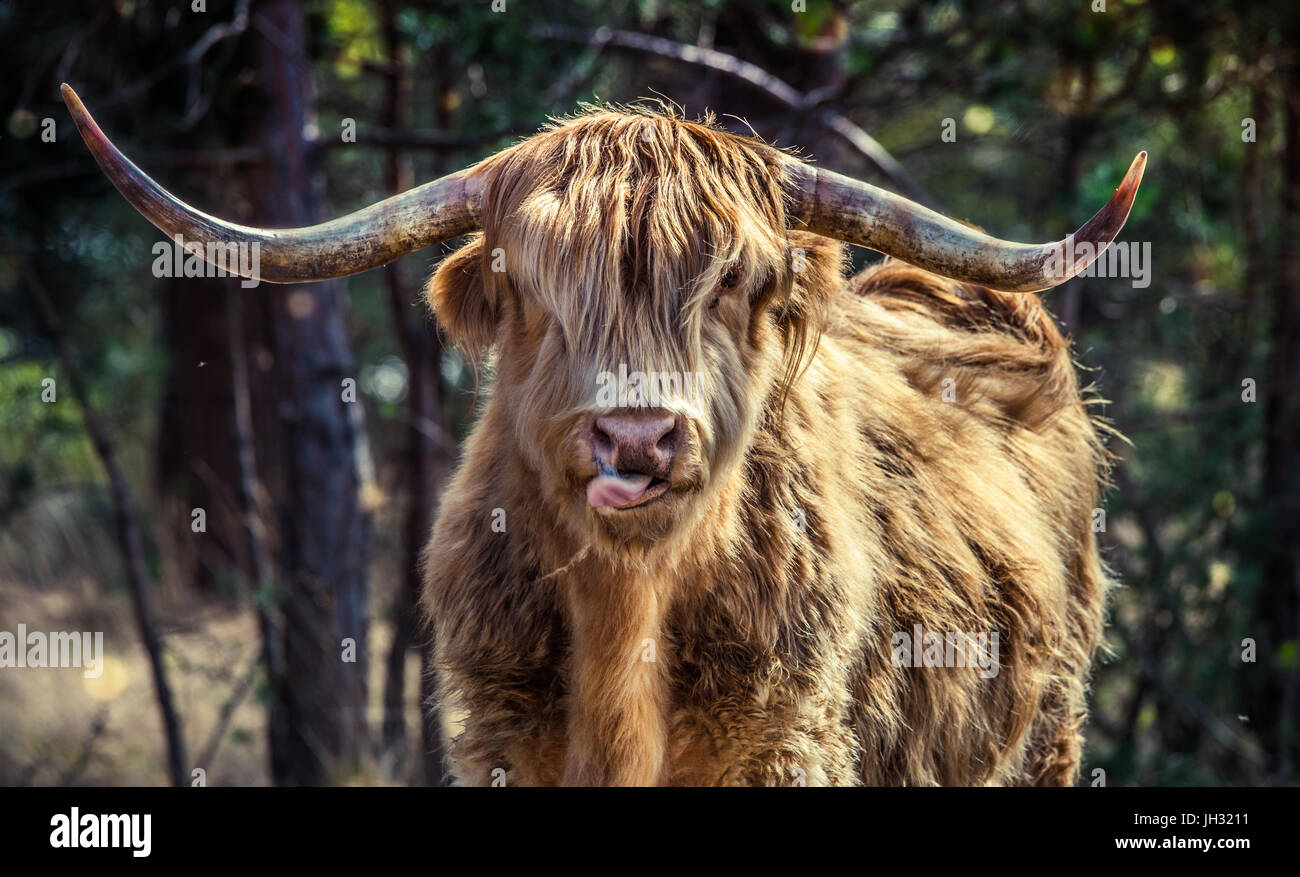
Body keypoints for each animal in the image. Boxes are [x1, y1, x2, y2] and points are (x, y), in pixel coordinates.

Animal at [62, 84, 1144, 786]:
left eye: (732, 282)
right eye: (539, 289)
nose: (636, 439)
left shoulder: (787, 744)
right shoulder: (498, 738)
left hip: (1048, 734)